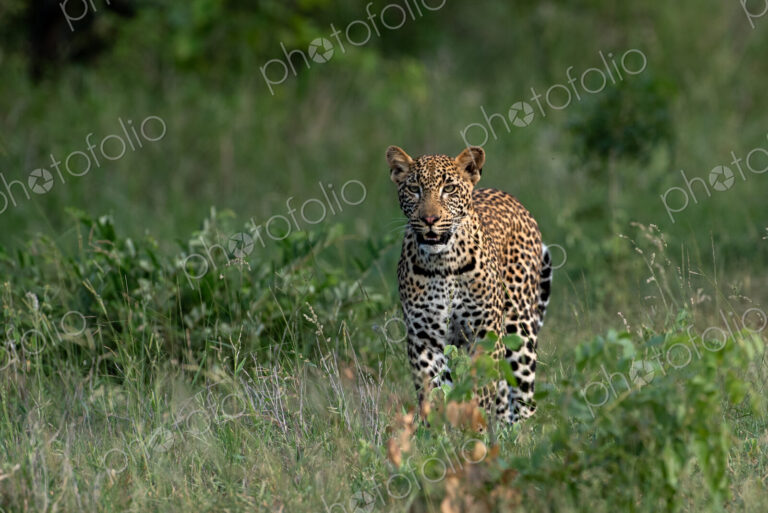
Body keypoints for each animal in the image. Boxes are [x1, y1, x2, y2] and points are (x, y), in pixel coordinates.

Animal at [386, 144, 552, 425]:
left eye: (449, 188)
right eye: (414, 188)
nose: (429, 219)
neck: (443, 263)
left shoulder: (485, 332)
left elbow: (483, 389)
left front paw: (476, 426)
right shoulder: (424, 338)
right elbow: (434, 389)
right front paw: (439, 430)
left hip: (520, 330)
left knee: (523, 398)